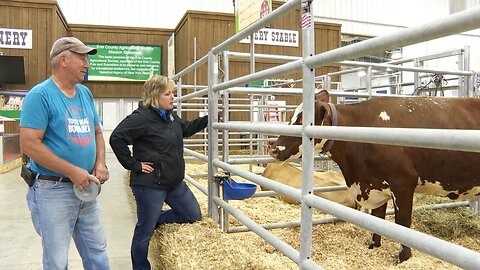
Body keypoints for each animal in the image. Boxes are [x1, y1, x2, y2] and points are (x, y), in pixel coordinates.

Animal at [268, 89, 480, 262]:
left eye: (302, 120)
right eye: (292, 117)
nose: (274, 148)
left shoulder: (403, 183)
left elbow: (402, 223)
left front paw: (403, 257)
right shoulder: (375, 184)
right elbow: (377, 219)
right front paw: (374, 245)